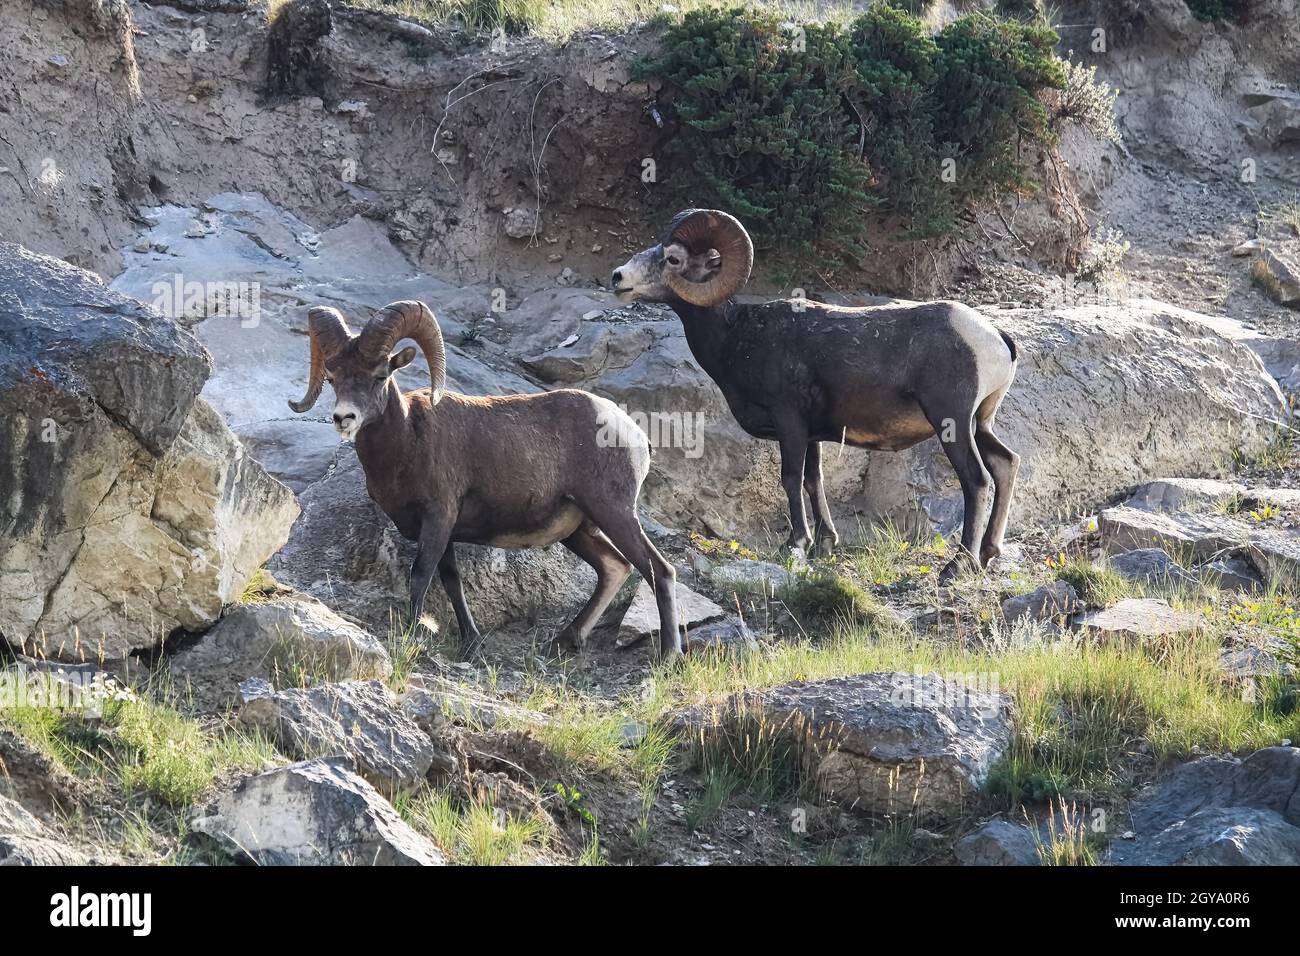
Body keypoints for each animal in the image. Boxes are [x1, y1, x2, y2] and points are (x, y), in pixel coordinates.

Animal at [287, 300, 682, 659]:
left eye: (379, 376)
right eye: (333, 378)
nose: (344, 417)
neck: (407, 442)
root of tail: (632, 431)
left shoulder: (438, 517)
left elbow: (420, 575)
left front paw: (412, 633)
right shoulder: (443, 531)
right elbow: (450, 580)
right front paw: (472, 642)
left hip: (614, 513)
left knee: (659, 571)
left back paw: (669, 656)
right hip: (579, 530)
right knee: (615, 568)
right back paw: (566, 641)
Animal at [611, 209, 1019, 583]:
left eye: (673, 259)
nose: (618, 279)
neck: (737, 336)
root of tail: (996, 338)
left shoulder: (789, 420)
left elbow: (790, 478)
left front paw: (796, 544)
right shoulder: (812, 434)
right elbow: (813, 480)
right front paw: (825, 543)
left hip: (951, 422)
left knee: (977, 480)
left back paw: (958, 566)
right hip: (980, 423)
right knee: (1005, 463)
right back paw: (988, 554)